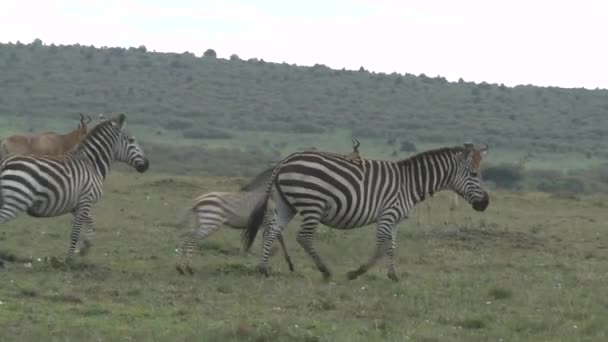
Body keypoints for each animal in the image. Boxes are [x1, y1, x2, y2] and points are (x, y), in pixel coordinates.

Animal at [0, 113, 148, 258]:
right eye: (131, 140)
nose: (147, 165)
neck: (92, 165)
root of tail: (4, 163)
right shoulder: (86, 200)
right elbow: (75, 233)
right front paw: (69, 259)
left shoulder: (77, 205)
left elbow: (91, 223)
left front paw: (86, 247)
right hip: (16, 201)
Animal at [176, 138, 366, 274]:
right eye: (358, 160)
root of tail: (197, 201)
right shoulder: (268, 217)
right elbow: (276, 237)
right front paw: (281, 263)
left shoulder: (266, 219)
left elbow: (275, 237)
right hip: (210, 223)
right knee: (191, 238)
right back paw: (187, 268)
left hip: (201, 222)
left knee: (187, 237)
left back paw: (182, 267)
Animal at [242, 143, 490, 282]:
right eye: (474, 174)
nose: (485, 203)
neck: (410, 183)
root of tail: (283, 162)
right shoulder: (387, 215)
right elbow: (382, 247)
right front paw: (358, 273)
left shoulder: (395, 220)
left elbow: (391, 247)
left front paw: (392, 275)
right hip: (313, 204)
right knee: (303, 237)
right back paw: (325, 271)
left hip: (287, 205)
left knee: (271, 231)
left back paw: (264, 269)